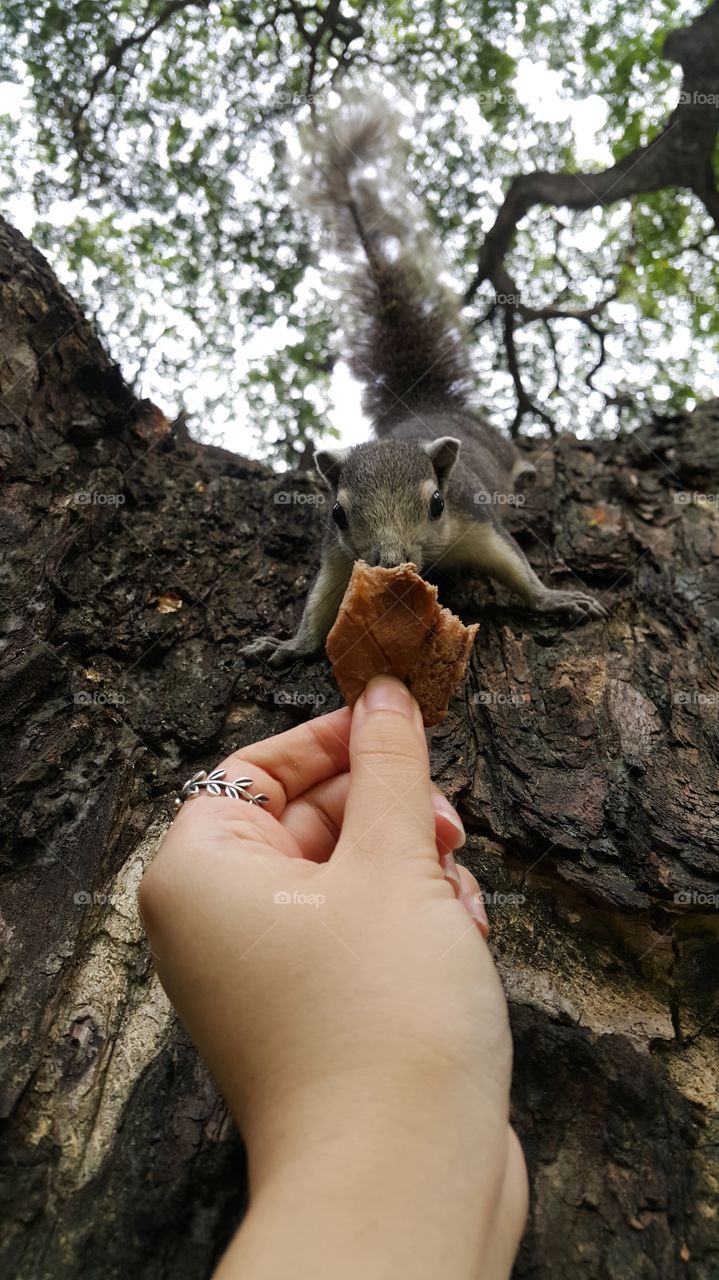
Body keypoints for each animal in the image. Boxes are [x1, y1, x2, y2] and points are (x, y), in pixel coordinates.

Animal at [243, 96, 605, 669]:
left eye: (436, 503)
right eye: (337, 512)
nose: (389, 561)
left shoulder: (476, 520)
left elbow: (515, 566)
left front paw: (556, 599)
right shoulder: (337, 555)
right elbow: (321, 602)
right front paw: (288, 645)